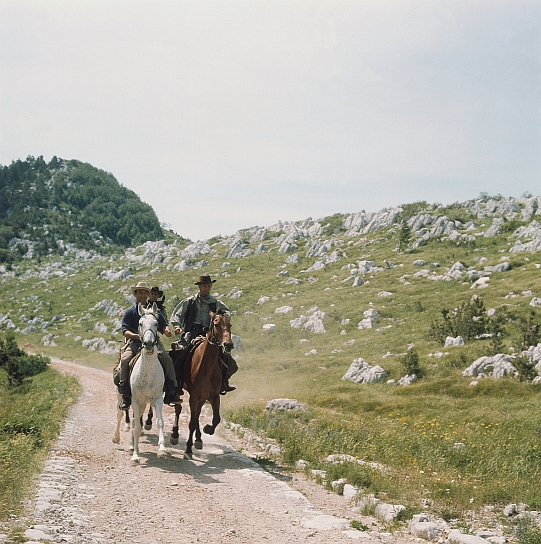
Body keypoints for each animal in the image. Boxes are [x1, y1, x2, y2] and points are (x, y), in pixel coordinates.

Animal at [169, 312, 232, 456]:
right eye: (216, 324)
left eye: (230, 325)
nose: (228, 345)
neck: (206, 367)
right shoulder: (194, 396)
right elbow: (191, 422)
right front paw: (187, 449)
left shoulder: (214, 396)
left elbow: (216, 418)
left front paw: (208, 429)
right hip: (180, 393)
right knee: (178, 409)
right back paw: (175, 435)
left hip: (203, 397)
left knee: (197, 414)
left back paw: (198, 439)